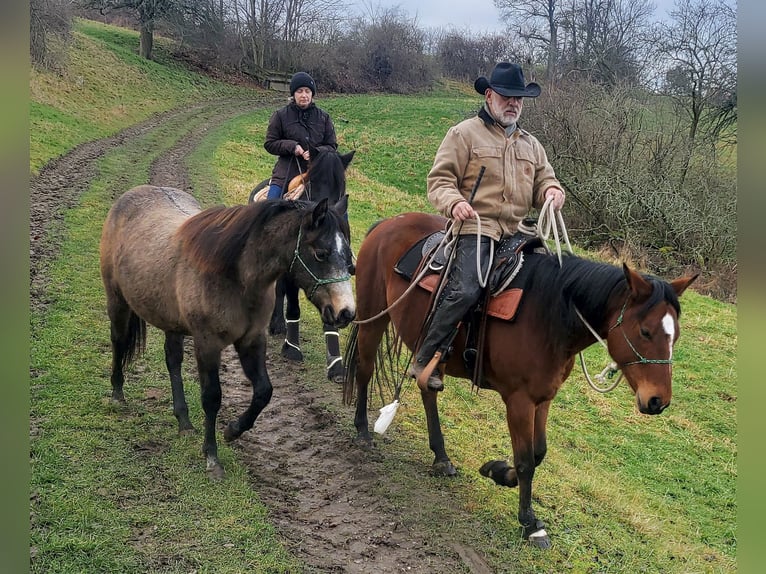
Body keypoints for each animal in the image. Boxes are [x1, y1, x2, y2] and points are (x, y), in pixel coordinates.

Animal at [98, 186, 356, 482]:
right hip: (117, 301)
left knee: (173, 361)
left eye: (348, 258)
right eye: (322, 253)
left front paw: (233, 430)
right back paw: (117, 394)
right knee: (118, 342)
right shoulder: (207, 344)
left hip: (172, 323)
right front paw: (212, 457)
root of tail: (129, 196)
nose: (346, 312)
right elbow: (212, 397)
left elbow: (264, 392)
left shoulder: (251, 341)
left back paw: (184, 421)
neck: (234, 276)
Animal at [254, 146, 358, 384]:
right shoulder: (292, 272)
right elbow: (293, 307)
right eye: (311, 181)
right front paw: (292, 349)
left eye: (341, 185)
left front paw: (336, 365)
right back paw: (277, 325)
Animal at [344, 212, 700, 548]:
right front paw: (529, 522)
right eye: (645, 332)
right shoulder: (518, 400)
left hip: (430, 353)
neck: (549, 314)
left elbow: (538, 452)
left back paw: (441, 457)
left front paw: (498, 471)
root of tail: (389, 223)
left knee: (426, 389)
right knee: (364, 369)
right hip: (374, 316)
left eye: (676, 335)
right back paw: (363, 431)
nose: (658, 401)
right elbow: (527, 460)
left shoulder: (543, 397)